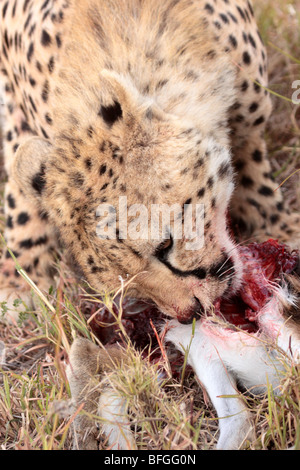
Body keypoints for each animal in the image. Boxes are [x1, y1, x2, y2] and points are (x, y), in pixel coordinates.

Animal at [0, 0, 300, 450]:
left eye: (165, 246)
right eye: (127, 286)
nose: (189, 315)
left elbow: (253, 164)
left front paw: (280, 229)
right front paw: (21, 281)